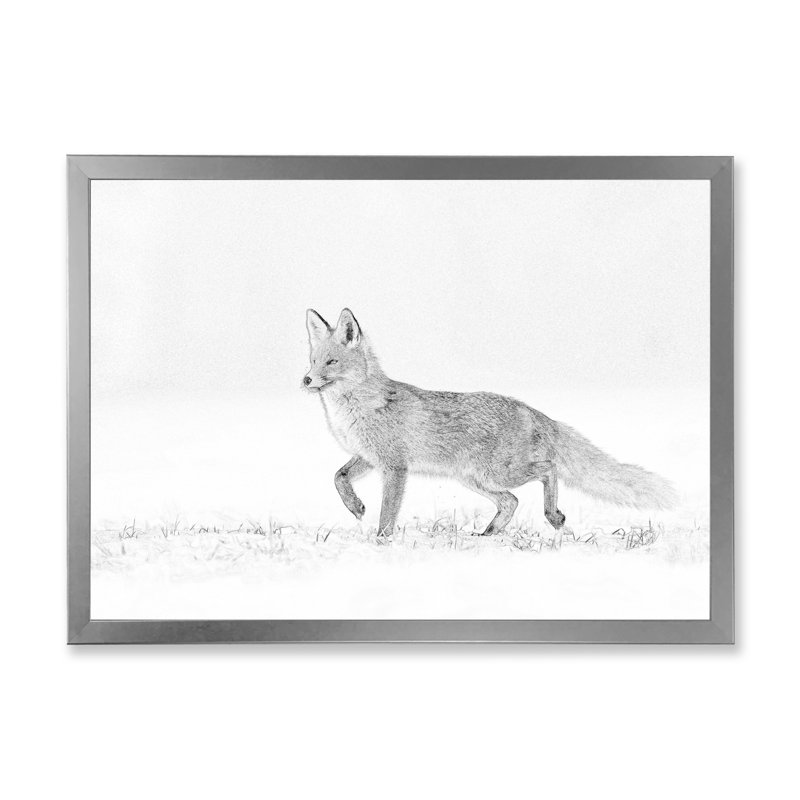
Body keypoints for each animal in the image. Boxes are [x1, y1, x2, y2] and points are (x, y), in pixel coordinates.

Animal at [303, 308, 677, 537]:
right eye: (312, 360)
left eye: (331, 362)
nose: (306, 380)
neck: (356, 410)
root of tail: (534, 410)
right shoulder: (368, 458)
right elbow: (338, 477)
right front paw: (355, 507)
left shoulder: (394, 467)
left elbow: (387, 514)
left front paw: (381, 542)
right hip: (476, 479)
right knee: (511, 501)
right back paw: (489, 535)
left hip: (494, 473)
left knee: (549, 468)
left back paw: (553, 516)